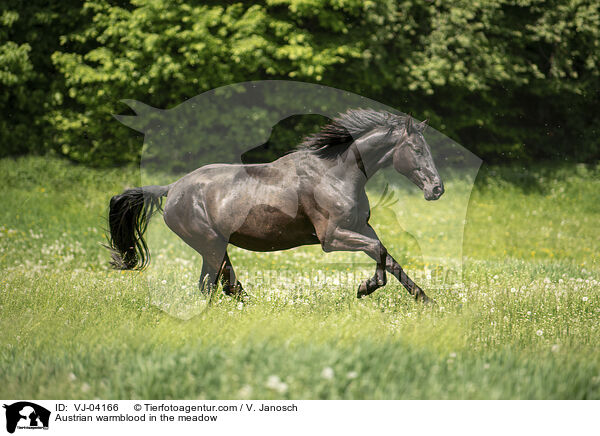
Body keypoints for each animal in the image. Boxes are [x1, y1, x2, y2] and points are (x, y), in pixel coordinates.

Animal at [106, 107, 446, 302]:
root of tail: (172, 188)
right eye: (417, 149)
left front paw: (426, 300)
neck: (336, 174)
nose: (437, 189)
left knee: (221, 283)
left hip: (215, 245)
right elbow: (379, 252)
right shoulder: (331, 237)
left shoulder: (361, 228)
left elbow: (388, 256)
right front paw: (366, 287)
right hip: (210, 243)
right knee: (214, 285)